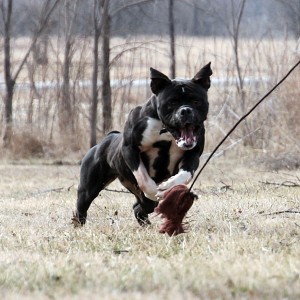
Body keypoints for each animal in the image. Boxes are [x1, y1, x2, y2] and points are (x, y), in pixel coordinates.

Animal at [74, 62, 212, 225]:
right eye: (172, 103)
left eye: (196, 101)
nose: (185, 110)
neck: (165, 131)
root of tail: (107, 138)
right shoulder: (129, 149)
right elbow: (143, 178)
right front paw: (154, 192)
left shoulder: (192, 154)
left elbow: (186, 174)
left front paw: (168, 186)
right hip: (89, 188)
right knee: (82, 206)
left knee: (140, 207)